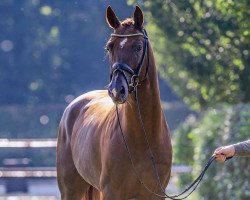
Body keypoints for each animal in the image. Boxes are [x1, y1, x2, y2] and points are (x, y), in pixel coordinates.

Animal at [57, 5, 172, 199]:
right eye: (109, 47)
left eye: (138, 47)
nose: (116, 90)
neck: (144, 137)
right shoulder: (112, 192)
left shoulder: (156, 194)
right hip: (71, 189)